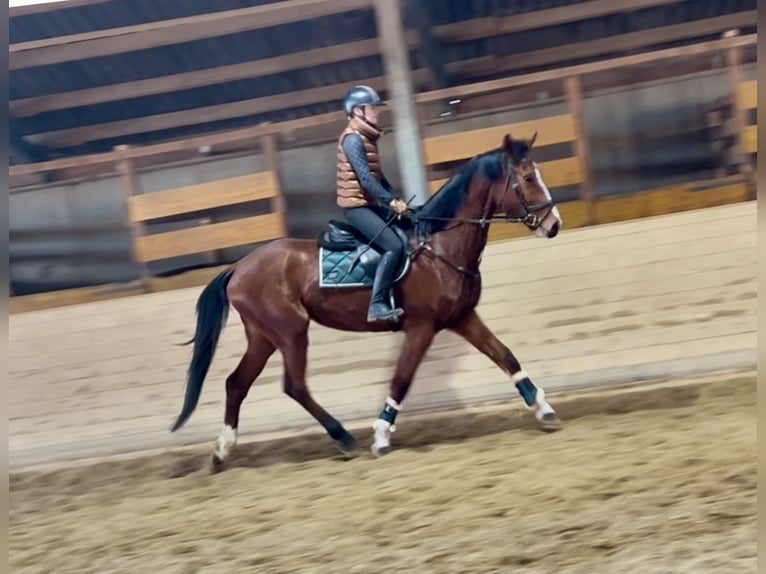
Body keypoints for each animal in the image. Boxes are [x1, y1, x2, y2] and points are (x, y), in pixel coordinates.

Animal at [172, 133, 564, 474]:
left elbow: (506, 357)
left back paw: (222, 451)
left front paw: (543, 409)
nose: (554, 225)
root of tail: (239, 266)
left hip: (263, 336)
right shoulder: (421, 327)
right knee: (294, 385)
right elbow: (401, 380)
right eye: (528, 177)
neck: (438, 246)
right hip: (291, 331)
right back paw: (343, 437)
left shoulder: (463, 318)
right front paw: (381, 436)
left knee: (236, 383)